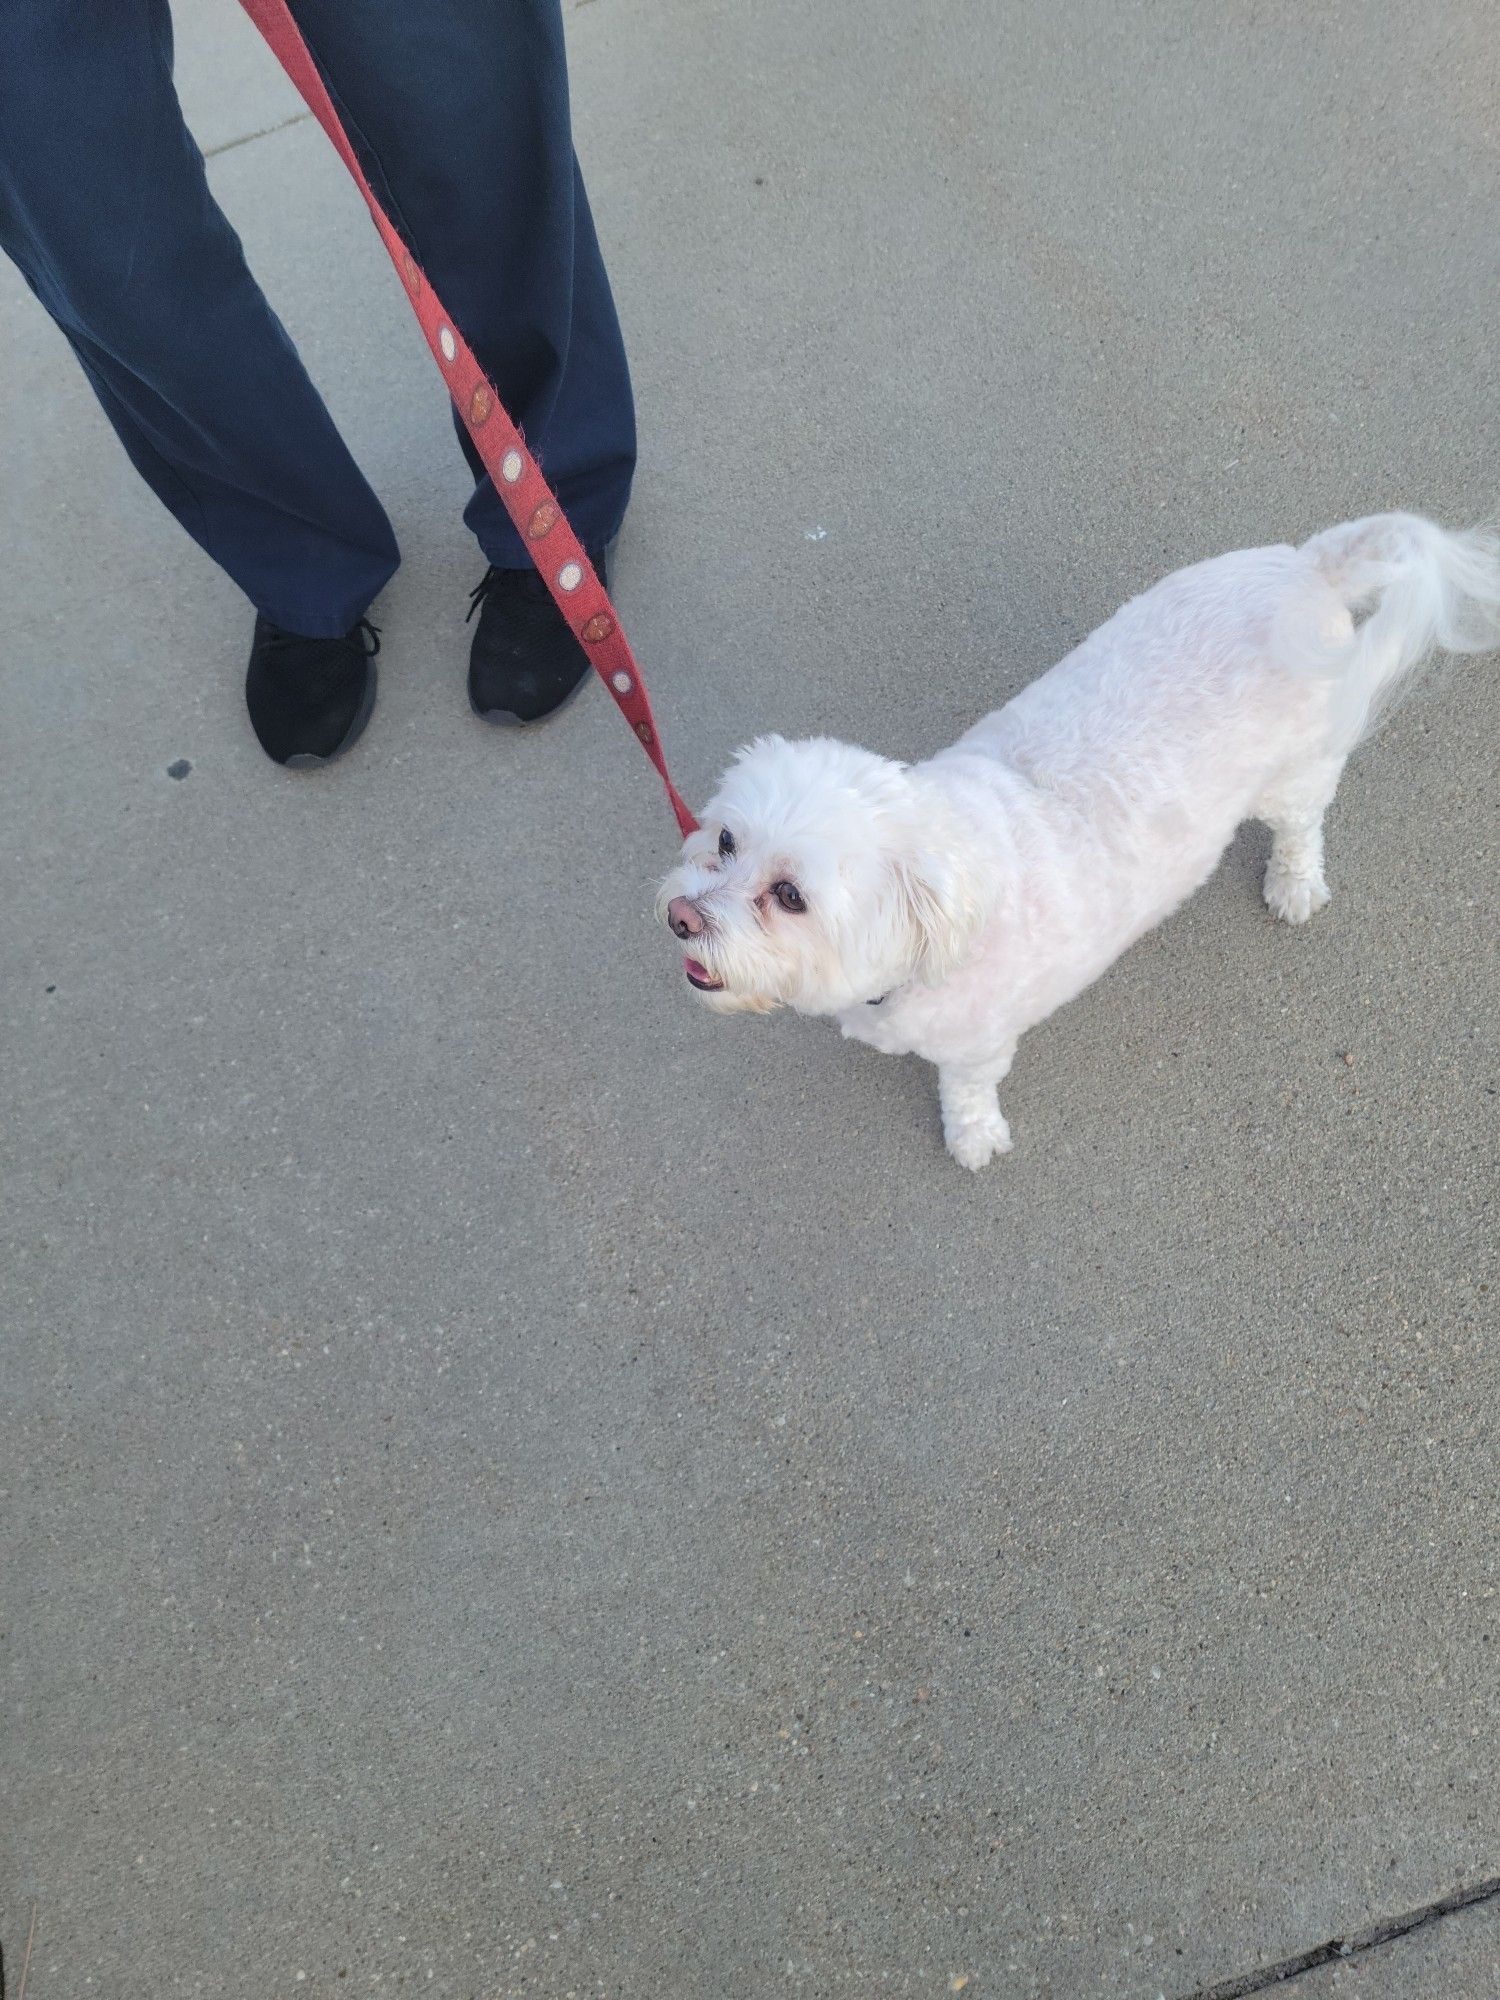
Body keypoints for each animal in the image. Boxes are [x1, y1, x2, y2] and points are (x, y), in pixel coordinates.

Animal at [660, 516, 1500, 1168]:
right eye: (724, 840)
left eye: (789, 895)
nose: (681, 918)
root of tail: (1305, 566)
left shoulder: (979, 1045)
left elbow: (968, 1090)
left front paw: (973, 1135)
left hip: (1295, 772)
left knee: (1302, 825)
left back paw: (1294, 882)